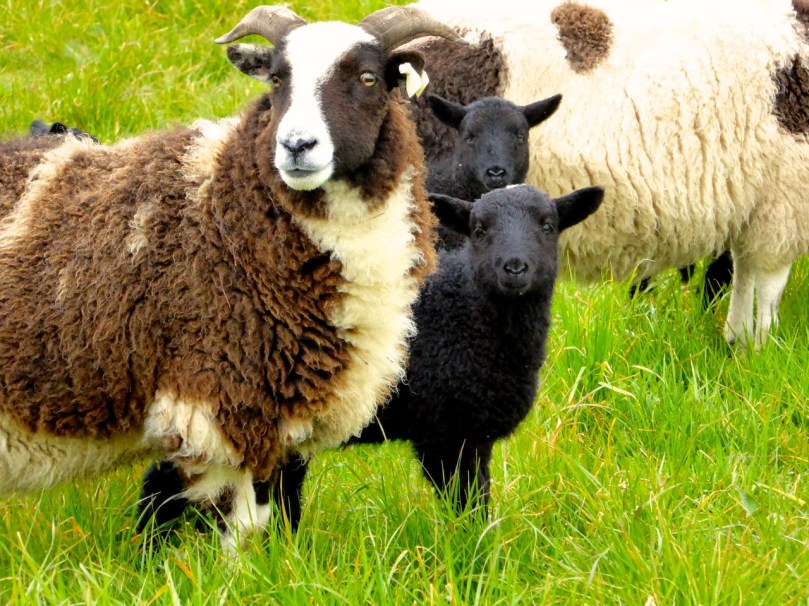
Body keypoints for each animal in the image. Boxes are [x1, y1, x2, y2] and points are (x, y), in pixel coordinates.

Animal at [0, 4, 465, 549]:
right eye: (279, 79)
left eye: (369, 78)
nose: (297, 145)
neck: (225, 212)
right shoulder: (219, 401)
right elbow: (238, 527)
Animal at [136, 183, 605, 531]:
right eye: (479, 228)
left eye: (548, 225)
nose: (514, 267)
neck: (470, 315)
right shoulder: (446, 434)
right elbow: (468, 507)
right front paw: (473, 560)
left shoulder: (473, 436)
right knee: (165, 487)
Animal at [406, 0, 809, 346]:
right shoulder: (785, 202)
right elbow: (767, 290)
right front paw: (758, 354)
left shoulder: (759, 207)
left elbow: (745, 282)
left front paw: (736, 347)